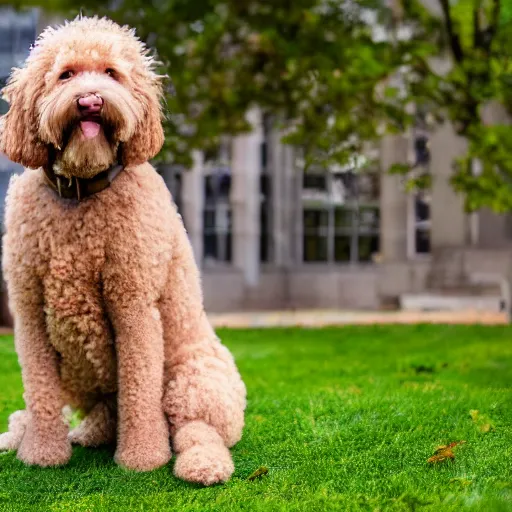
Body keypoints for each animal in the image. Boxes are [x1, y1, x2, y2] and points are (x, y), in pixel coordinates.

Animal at [0, 15, 246, 484]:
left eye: (112, 73)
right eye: (66, 74)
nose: (91, 102)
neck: (80, 190)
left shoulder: (133, 303)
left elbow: (139, 390)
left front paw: (142, 458)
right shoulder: (29, 308)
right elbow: (40, 393)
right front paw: (42, 453)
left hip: (194, 378)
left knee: (195, 429)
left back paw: (201, 465)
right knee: (97, 412)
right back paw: (69, 434)